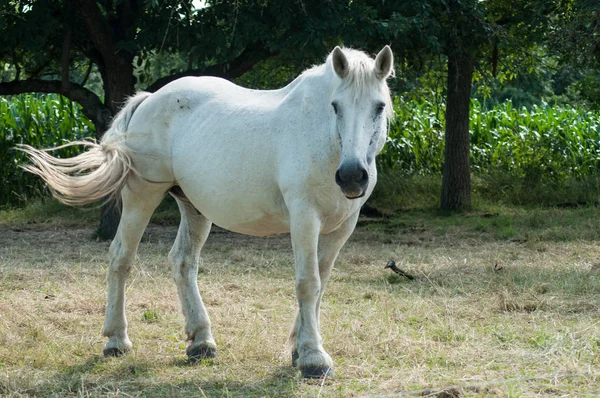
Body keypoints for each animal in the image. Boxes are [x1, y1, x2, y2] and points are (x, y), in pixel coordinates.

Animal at [22, 45, 394, 378]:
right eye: (335, 106)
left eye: (379, 107)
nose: (352, 176)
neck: (326, 143)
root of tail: (149, 100)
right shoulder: (304, 219)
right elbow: (308, 283)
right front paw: (314, 359)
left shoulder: (341, 228)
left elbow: (320, 285)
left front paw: (299, 348)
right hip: (142, 197)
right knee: (121, 258)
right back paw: (116, 340)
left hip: (194, 207)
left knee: (183, 262)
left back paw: (201, 341)